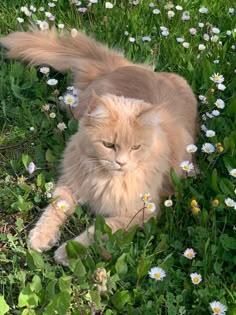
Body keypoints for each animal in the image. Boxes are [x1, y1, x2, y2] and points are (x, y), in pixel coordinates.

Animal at [0, 30, 197, 266]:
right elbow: (55, 209)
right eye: (109, 145)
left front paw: (67, 251)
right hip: (78, 108)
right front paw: (41, 237)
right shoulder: (71, 182)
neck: (107, 179)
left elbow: (98, 232)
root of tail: (125, 66)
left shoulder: (142, 211)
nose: (120, 162)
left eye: (135, 147)